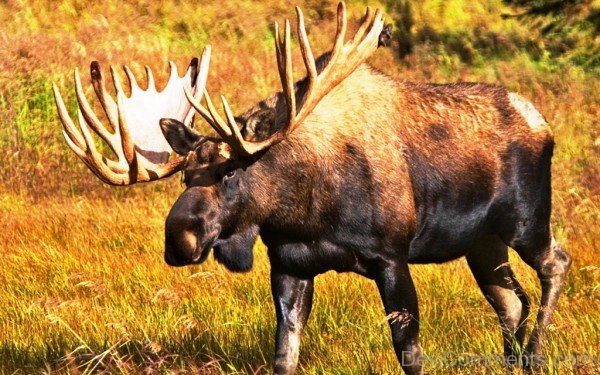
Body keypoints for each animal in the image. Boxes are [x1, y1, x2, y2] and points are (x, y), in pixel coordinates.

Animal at [52, 1, 572, 374]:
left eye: (231, 171)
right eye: (184, 175)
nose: (179, 238)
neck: (304, 210)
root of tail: (544, 123)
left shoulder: (391, 256)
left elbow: (410, 354)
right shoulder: (289, 264)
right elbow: (284, 356)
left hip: (526, 221)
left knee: (555, 265)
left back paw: (536, 356)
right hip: (481, 243)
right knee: (511, 301)